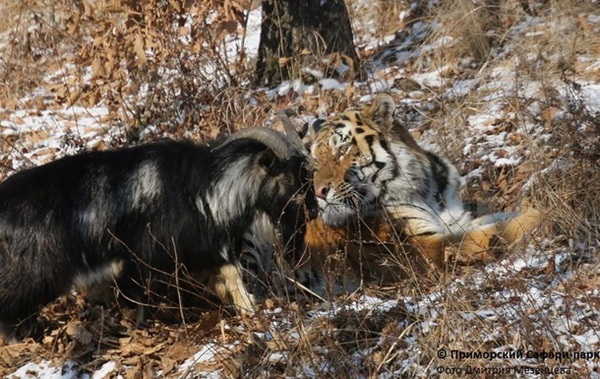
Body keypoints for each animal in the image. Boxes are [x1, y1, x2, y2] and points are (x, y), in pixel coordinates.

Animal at [0, 127, 318, 342]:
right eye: (289, 179)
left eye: (308, 174)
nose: (313, 211)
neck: (206, 187)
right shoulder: (143, 258)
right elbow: (140, 301)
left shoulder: (204, 250)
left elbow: (232, 280)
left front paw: (250, 312)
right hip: (30, 276)